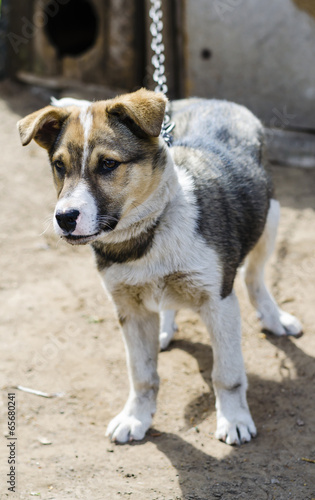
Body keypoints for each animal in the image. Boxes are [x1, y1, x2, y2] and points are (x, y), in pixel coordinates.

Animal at [17, 89, 304, 446]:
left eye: (108, 164)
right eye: (59, 166)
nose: (65, 218)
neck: (150, 230)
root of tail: (213, 100)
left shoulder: (219, 302)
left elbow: (227, 373)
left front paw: (234, 419)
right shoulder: (129, 309)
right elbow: (142, 375)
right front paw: (136, 417)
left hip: (270, 218)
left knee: (255, 277)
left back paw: (274, 317)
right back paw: (166, 329)